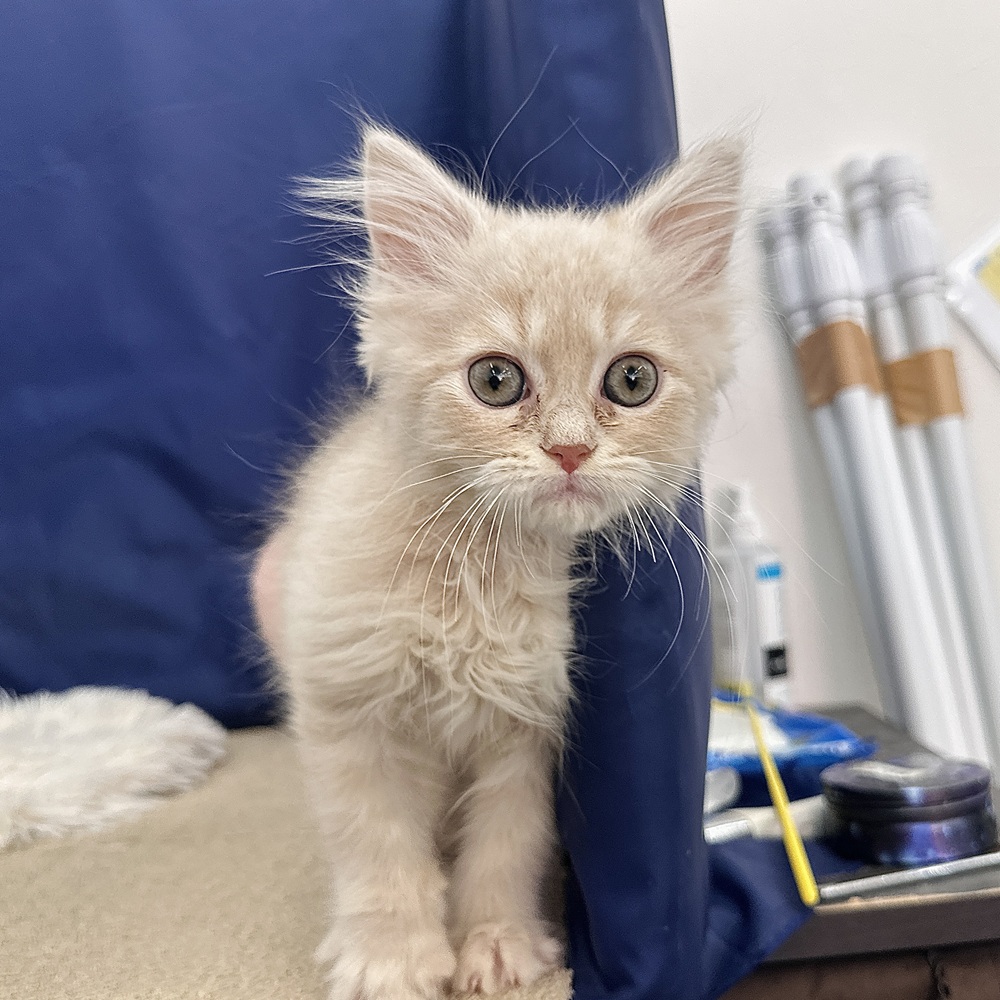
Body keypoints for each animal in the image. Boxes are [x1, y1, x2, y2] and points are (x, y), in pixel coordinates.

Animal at [251, 125, 743, 1000]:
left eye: (633, 379)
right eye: (495, 379)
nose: (571, 450)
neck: (476, 569)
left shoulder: (528, 729)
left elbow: (506, 848)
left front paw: (497, 945)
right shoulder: (347, 709)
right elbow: (376, 845)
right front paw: (391, 957)